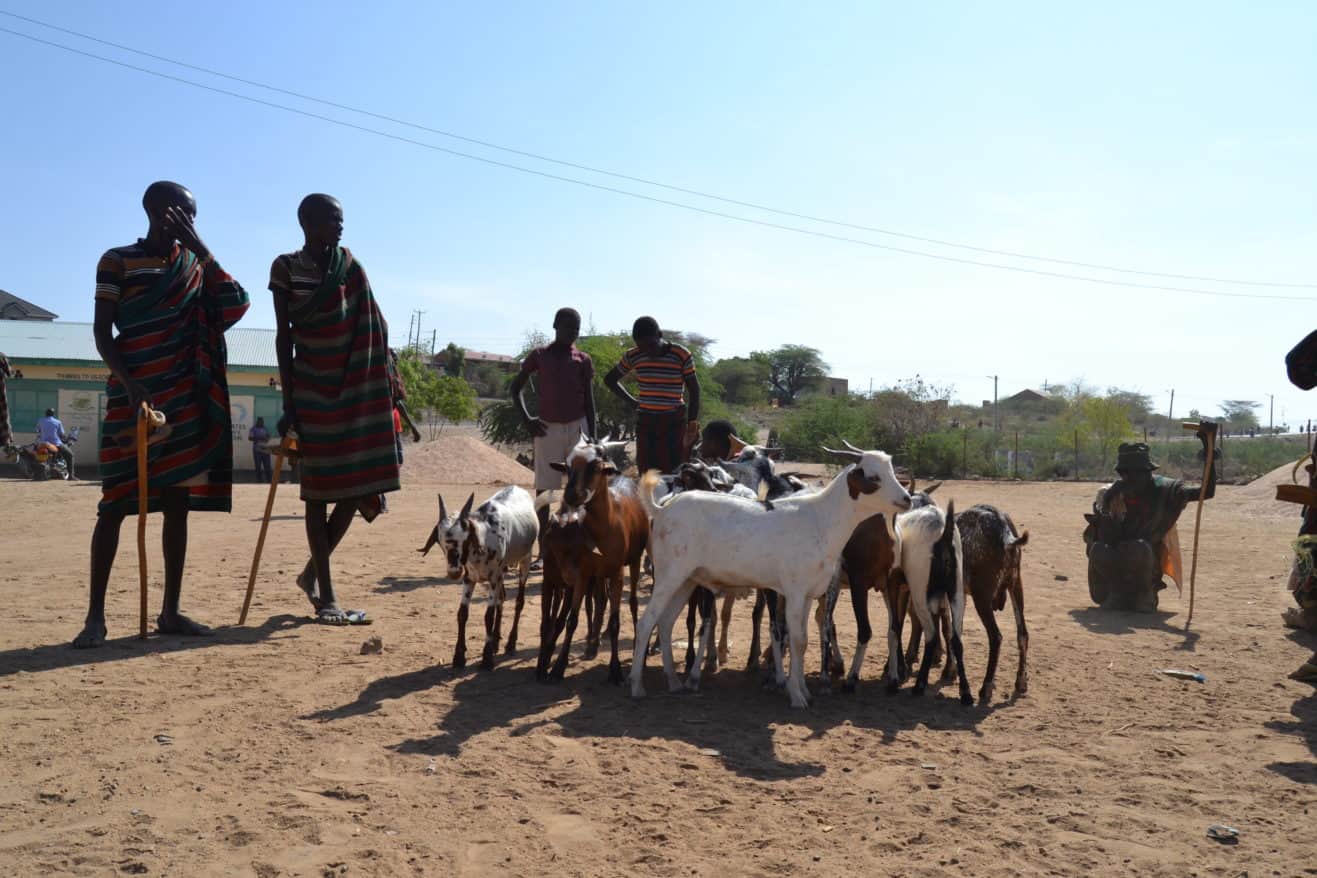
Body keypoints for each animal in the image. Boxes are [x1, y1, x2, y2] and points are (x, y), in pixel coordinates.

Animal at [634, 450, 911, 710]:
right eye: (874, 477)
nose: (907, 499)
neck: (820, 520)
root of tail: (663, 508)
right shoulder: (794, 592)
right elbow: (796, 639)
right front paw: (796, 695)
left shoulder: (808, 594)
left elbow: (803, 641)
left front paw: (803, 690)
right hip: (669, 574)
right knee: (647, 621)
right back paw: (637, 686)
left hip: (687, 580)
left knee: (665, 622)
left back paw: (673, 681)